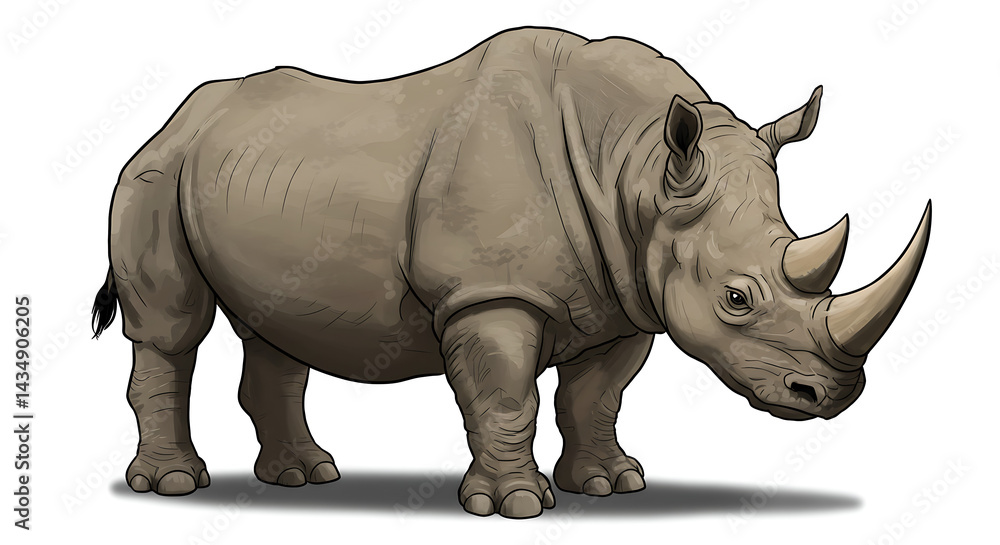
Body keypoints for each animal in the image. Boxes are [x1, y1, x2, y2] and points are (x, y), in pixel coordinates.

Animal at [92, 27, 931, 518]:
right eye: (736, 297)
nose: (831, 395)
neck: (635, 167)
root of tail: (175, 118)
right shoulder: (488, 294)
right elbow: (505, 396)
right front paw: (517, 504)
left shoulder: (626, 294)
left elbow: (597, 396)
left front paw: (611, 484)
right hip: (153, 172)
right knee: (170, 327)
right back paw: (176, 485)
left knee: (275, 329)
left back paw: (304, 477)